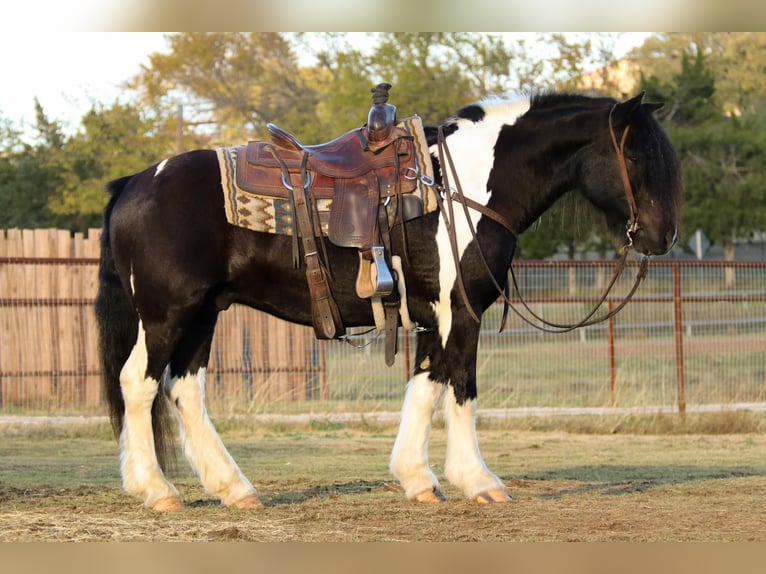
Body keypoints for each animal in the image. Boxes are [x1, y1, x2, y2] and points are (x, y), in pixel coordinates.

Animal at [97, 92, 684, 510]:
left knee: (183, 390)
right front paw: (478, 480)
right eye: (635, 153)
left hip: (202, 314)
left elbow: (425, 388)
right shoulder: (460, 311)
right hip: (166, 315)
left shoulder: (431, 317)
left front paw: (417, 478)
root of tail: (134, 183)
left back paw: (233, 488)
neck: (463, 187)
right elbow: (461, 388)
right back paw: (156, 490)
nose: (663, 236)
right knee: (138, 383)